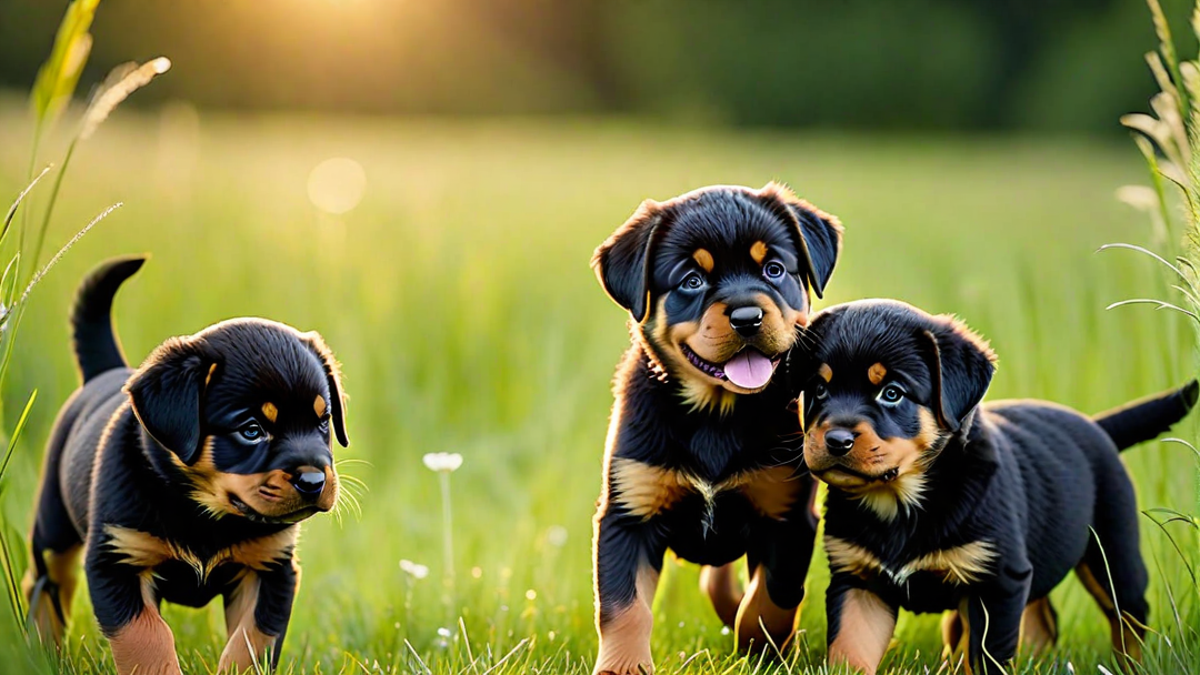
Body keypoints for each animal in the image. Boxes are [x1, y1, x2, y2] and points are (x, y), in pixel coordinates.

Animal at [22, 255, 348, 672]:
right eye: (251, 429)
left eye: (323, 421)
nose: (313, 481)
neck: (204, 514)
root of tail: (105, 373)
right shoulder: (117, 559)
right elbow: (146, 636)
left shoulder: (270, 568)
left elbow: (251, 640)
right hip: (54, 528)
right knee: (47, 583)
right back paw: (40, 651)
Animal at [590, 181, 844, 667]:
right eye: (692, 280)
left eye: (774, 269)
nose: (748, 317)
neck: (717, 415)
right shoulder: (628, 514)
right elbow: (623, 607)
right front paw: (624, 668)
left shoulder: (787, 517)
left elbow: (772, 597)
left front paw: (761, 651)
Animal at [792, 299, 1195, 672]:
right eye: (819, 389)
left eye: (892, 392)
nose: (836, 440)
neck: (901, 505)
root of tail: (1097, 426)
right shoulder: (858, 581)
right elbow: (850, 651)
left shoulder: (998, 582)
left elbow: (986, 658)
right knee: (1040, 619)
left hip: (1113, 551)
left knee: (1128, 617)